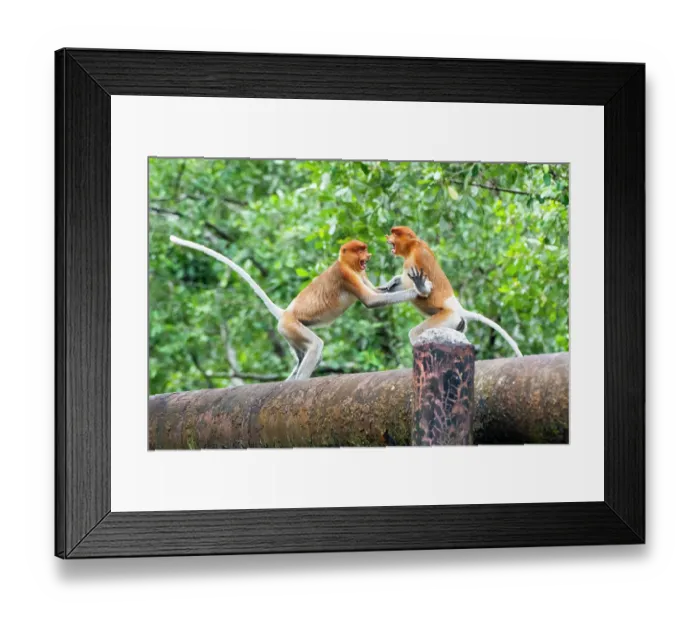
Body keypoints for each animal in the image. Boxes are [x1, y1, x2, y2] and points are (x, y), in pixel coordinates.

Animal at [169, 235, 434, 381]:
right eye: (360, 249)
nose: (367, 256)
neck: (346, 263)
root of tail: (285, 312)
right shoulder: (346, 276)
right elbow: (372, 301)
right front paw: (420, 288)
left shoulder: (360, 273)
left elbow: (378, 292)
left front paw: (393, 282)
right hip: (292, 327)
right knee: (315, 346)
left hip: (289, 334)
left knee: (302, 355)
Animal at [378, 226, 523, 357]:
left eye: (396, 233)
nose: (387, 237)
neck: (411, 248)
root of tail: (458, 308)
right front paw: (390, 284)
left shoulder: (420, 255)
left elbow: (425, 289)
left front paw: (420, 285)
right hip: (456, 321)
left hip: (447, 316)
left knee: (416, 333)